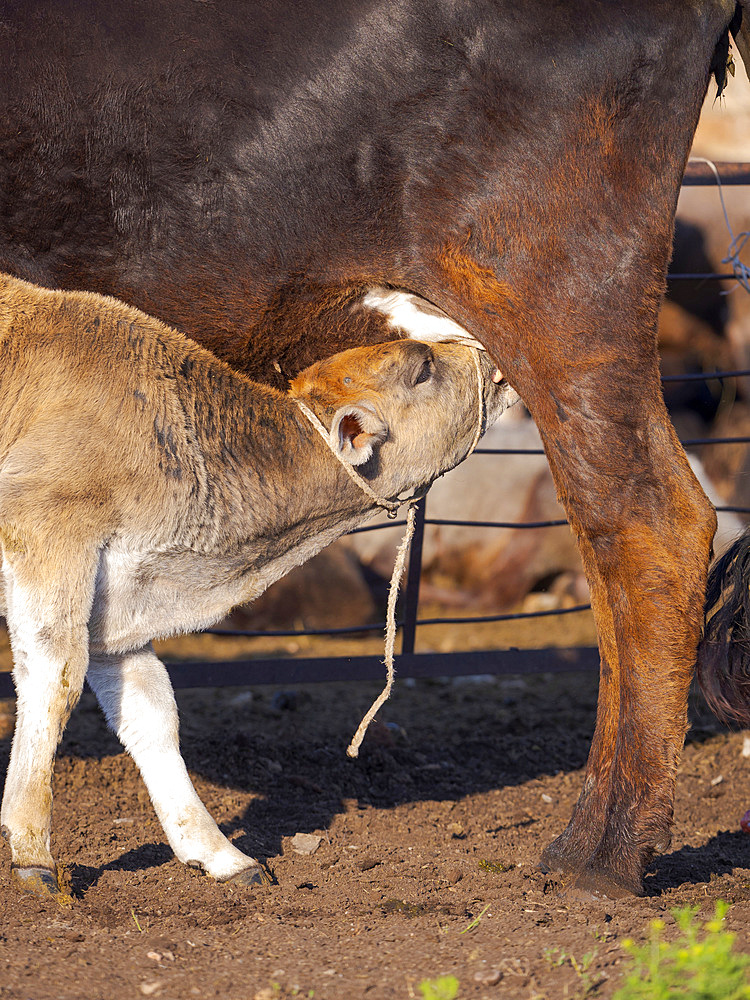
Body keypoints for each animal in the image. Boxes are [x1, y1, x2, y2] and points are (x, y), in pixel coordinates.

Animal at [0, 0, 748, 900]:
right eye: (418, 365)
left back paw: (600, 850)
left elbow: (56, 676)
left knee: (648, 529)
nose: (471, 356)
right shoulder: (105, 575)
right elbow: (137, 698)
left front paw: (34, 849)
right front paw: (214, 851)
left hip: (563, 306)